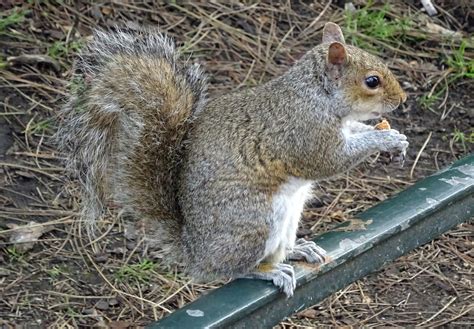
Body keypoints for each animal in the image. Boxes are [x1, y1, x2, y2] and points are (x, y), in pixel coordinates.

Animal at [57, 21, 408, 296]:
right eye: (372, 81)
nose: (402, 99)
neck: (317, 95)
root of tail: (195, 252)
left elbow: (355, 131)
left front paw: (395, 138)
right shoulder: (304, 131)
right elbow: (328, 161)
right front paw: (384, 139)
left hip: (288, 218)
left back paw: (298, 249)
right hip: (253, 223)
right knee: (229, 271)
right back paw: (266, 272)